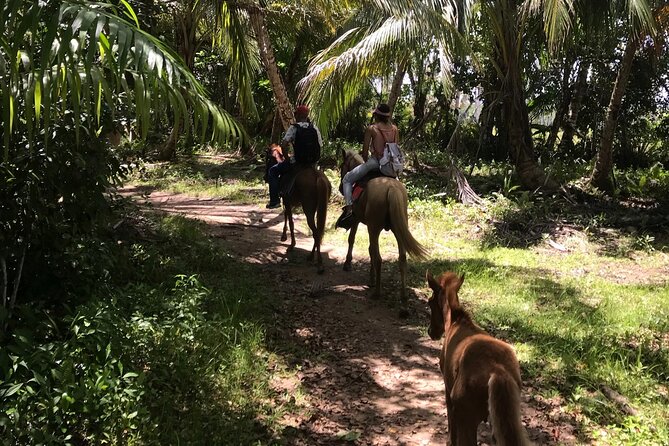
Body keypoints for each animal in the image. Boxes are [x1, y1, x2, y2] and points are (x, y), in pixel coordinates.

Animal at [264, 145, 332, 274]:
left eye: (268, 159)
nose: (265, 177)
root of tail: (317, 177)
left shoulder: (287, 201)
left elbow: (290, 222)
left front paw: (291, 244)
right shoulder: (289, 202)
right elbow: (286, 216)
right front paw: (284, 237)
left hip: (308, 209)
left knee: (315, 232)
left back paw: (319, 263)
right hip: (318, 207)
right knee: (318, 232)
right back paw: (311, 256)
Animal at [336, 150, 426, 306]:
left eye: (342, 166)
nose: (341, 188)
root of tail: (392, 189)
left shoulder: (357, 220)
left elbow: (352, 239)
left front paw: (348, 264)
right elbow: (369, 248)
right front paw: (371, 278)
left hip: (374, 228)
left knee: (378, 258)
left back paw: (377, 292)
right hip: (397, 229)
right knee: (402, 259)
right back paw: (403, 296)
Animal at [426, 272, 528, 446]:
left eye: (430, 302)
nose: (431, 332)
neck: (456, 322)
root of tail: (497, 370)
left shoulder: (448, 390)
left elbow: (451, 429)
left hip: (467, 419)